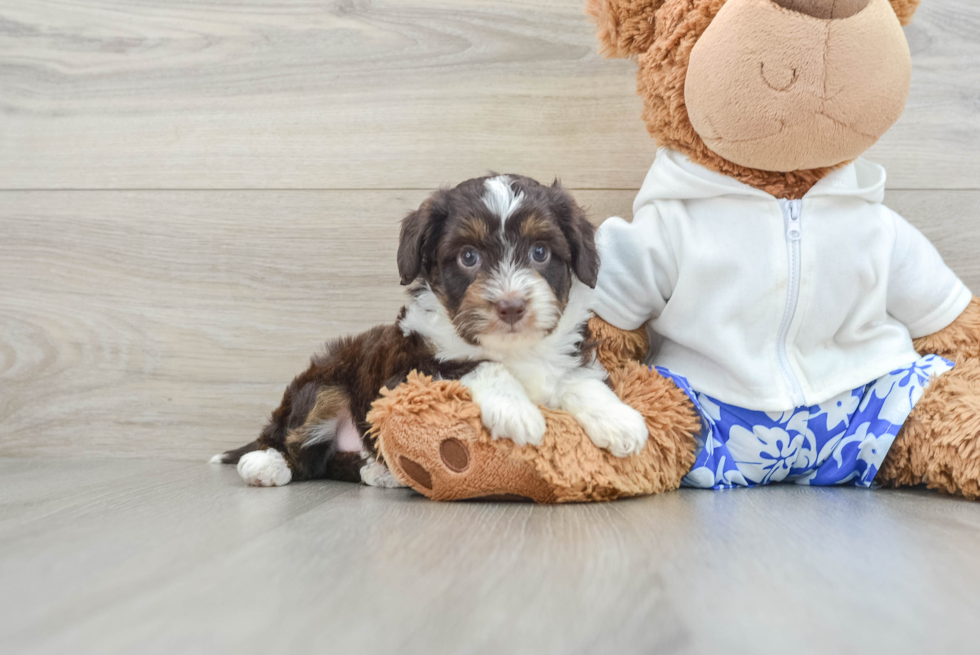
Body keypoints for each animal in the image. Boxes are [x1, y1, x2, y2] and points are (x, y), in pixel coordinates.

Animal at [211, 174, 648, 486]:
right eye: (468, 257)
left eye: (540, 252)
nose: (511, 306)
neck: (511, 347)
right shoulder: (404, 374)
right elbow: (477, 365)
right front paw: (517, 413)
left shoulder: (567, 354)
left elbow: (581, 380)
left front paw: (619, 420)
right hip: (322, 385)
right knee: (294, 445)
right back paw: (264, 464)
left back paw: (378, 472)